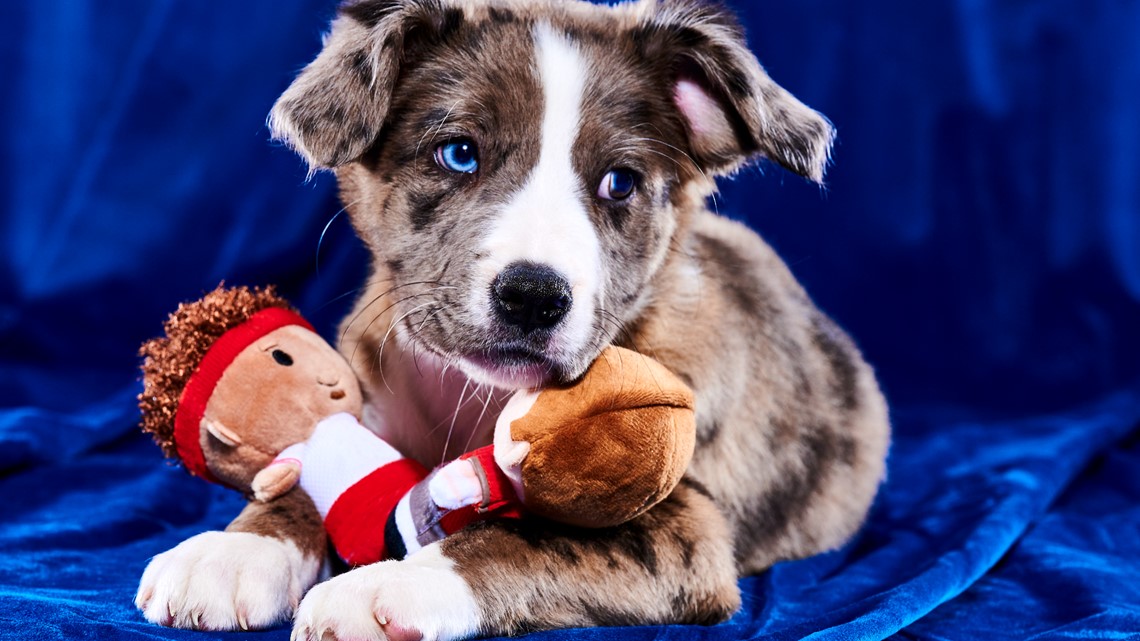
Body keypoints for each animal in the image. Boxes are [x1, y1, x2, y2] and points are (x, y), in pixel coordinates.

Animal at [135, 1, 889, 634]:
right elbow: (305, 471)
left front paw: (387, 588)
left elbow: (532, 538)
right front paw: (233, 553)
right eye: (459, 153)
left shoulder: (687, 529)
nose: (533, 296)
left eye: (620, 183)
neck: (470, 395)